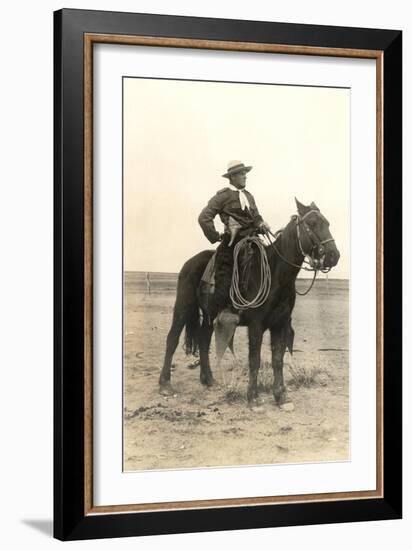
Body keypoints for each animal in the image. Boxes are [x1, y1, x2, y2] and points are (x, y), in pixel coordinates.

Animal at [158, 201, 338, 408]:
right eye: (313, 223)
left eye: (328, 223)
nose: (334, 255)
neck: (276, 274)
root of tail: (190, 262)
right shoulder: (256, 325)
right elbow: (255, 359)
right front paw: (253, 397)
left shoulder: (280, 324)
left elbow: (278, 359)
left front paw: (281, 396)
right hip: (183, 307)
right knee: (172, 339)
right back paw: (164, 384)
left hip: (211, 316)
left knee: (203, 340)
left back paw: (208, 379)